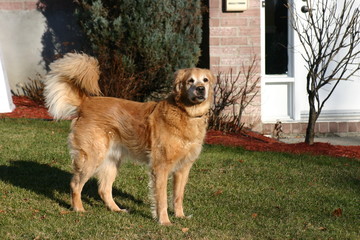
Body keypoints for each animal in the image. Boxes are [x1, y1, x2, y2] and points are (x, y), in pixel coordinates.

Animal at [44, 53, 214, 225]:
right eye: (190, 81)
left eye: (205, 80)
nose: (200, 89)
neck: (185, 113)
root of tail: (86, 101)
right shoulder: (161, 167)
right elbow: (162, 199)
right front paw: (164, 221)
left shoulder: (183, 167)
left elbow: (178, 196)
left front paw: (180, 216)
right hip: (92, 157)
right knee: (75, 184)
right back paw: (78, 209)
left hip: (112, 161)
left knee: (103, 189)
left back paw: (116, 209)